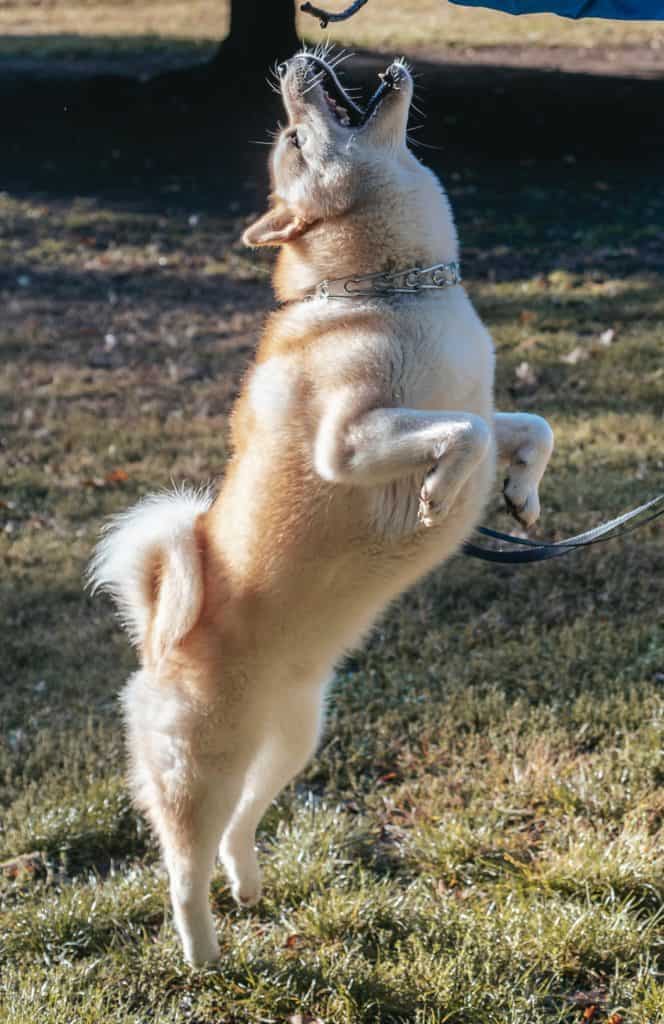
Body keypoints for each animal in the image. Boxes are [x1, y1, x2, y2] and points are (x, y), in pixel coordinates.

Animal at [89, 51, 553, 962]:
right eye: (296, 139)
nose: (296, 61)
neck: (392, 290)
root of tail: (160, 637)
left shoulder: (478, 402)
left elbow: (519, 427)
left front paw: (520, 493)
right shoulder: (348, 442)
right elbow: (467, 434)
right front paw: (441, 492)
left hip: (292, 742)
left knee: (240, 825)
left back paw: (249, 884)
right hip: (203, 767)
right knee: (182, 864)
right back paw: (203, 953)